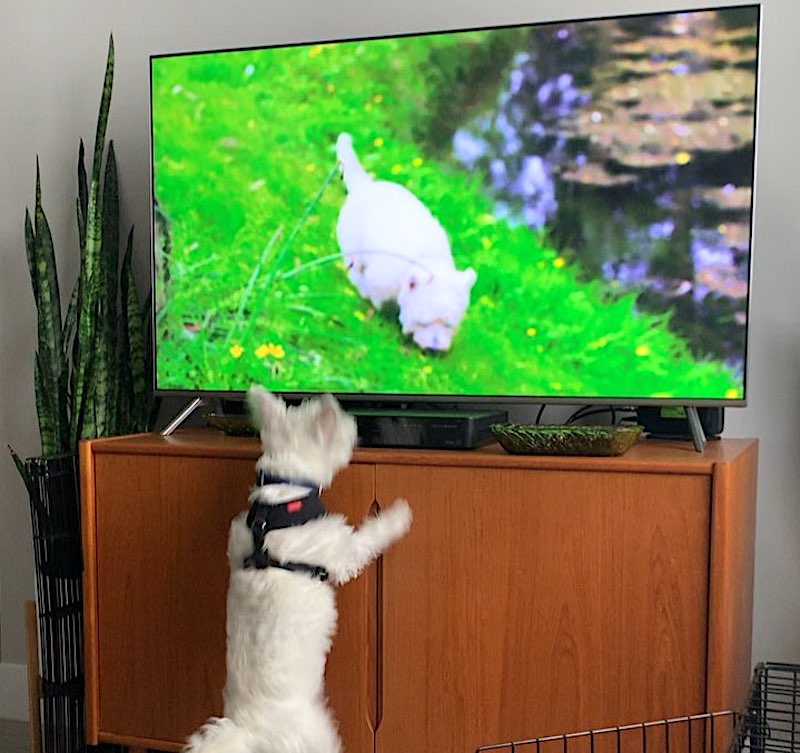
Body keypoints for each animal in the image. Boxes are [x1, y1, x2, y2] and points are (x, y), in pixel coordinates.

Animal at [186, 388, 412, 752]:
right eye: (340, 426)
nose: (356, 425)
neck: (283, 494)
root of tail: (247, 728)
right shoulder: (341, 550)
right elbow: (371, 536)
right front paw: (400, 515)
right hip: (315, 735)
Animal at [336, 131, 478, 352]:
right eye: (424, 322)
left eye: (449, 324)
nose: (435, 350)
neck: (428, 260)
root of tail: (366, 186)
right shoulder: (381, 282)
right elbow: (376, 298)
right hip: (352, 243)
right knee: (353, 264)